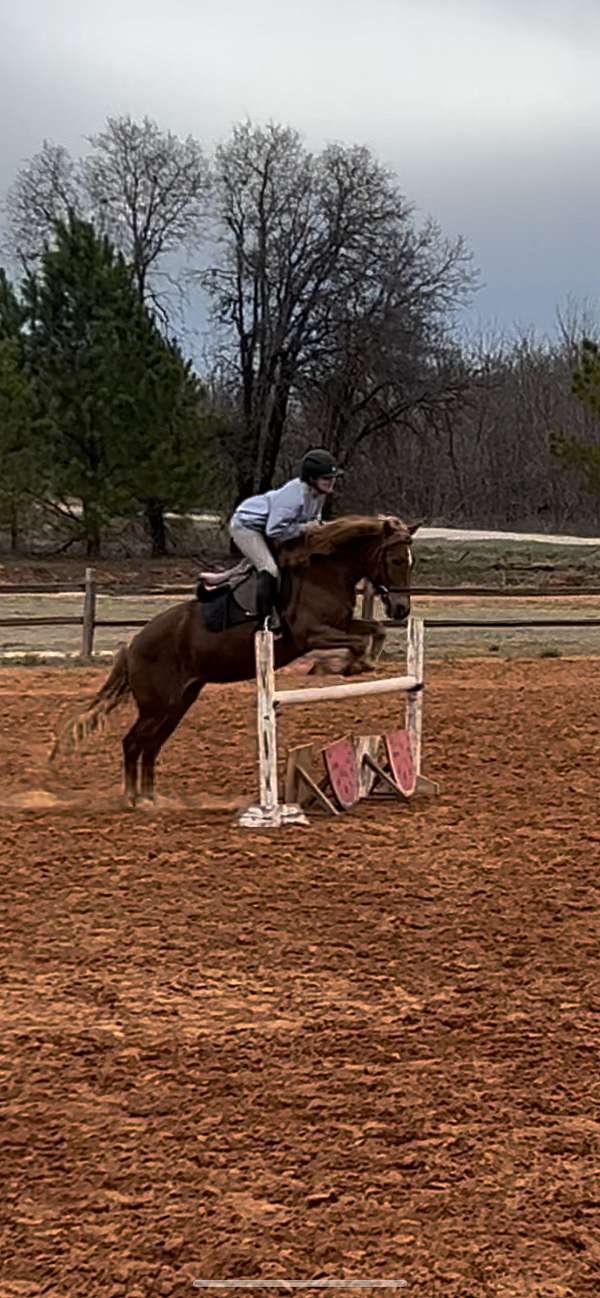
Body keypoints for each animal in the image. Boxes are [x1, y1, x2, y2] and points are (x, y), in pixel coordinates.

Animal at [52, 514, 418, 799]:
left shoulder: (341, 623)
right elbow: (356, 642)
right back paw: (133, 799)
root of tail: (132, 645)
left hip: (178, 703)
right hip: (158, 705)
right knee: (132, 743)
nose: (402, 609)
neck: (325, 571)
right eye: (397, 561)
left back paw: (150, 798)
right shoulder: (311, 634)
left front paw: (359, 663)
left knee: (150, 746)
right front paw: (344, 665)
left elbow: (374, 630)